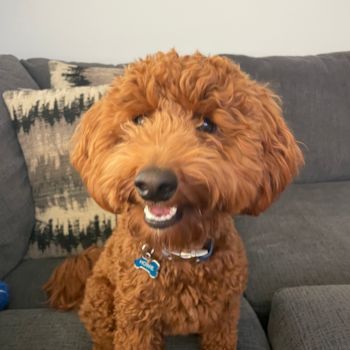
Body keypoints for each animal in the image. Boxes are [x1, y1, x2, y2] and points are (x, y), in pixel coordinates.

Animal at [42, 50, 302, 350]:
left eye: (207, 124)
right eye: (139, 120)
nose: (153, 184)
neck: (181, 253)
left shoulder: (224, 318)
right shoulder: (136, 322)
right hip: (102, 303)